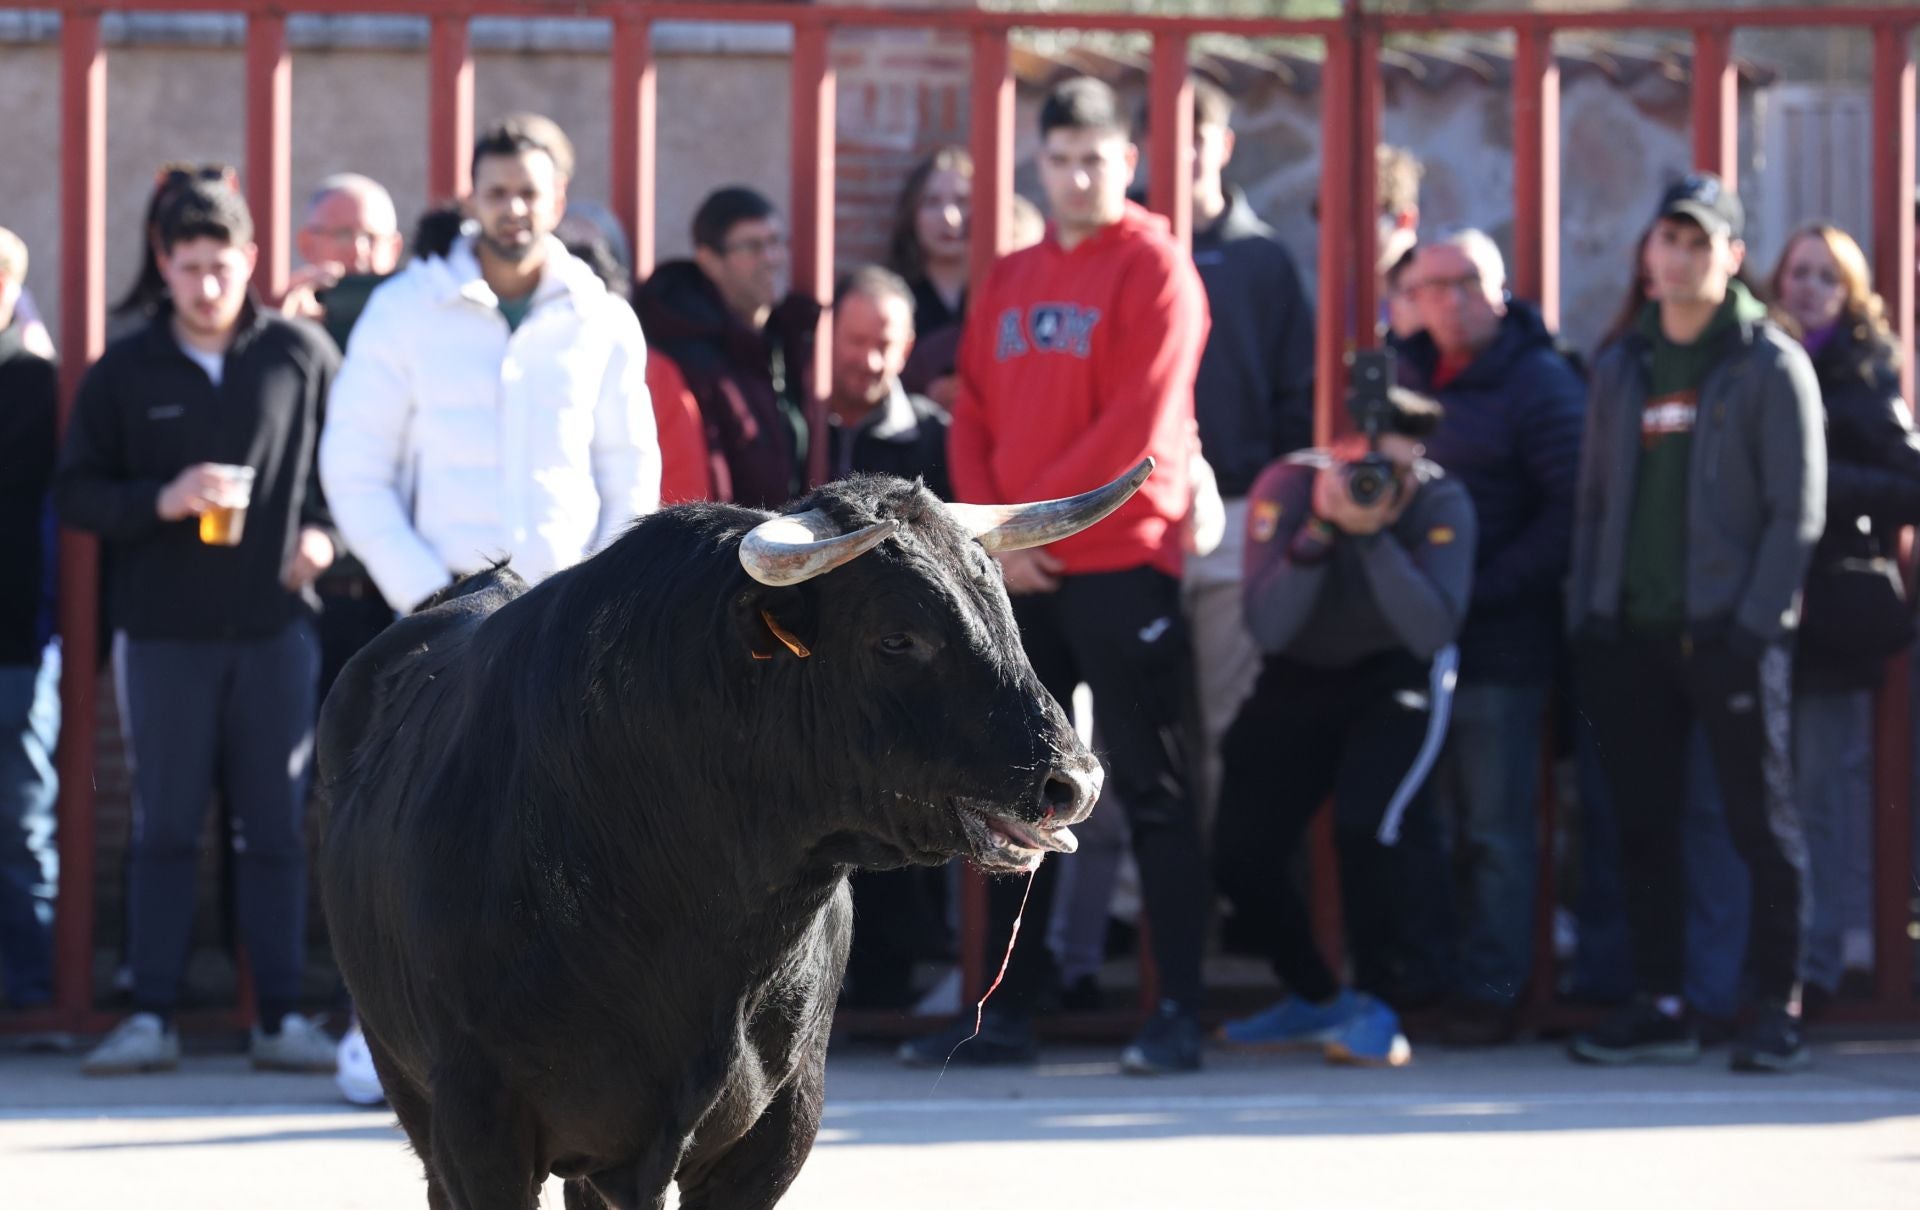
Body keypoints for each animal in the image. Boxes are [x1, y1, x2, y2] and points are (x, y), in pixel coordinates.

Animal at [316, 462, 1152, 1210]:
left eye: (1002, 607)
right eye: (896, 638)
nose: (1075, 781)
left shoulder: (777, 1128)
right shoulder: (479, 1129)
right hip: (416, 1096)